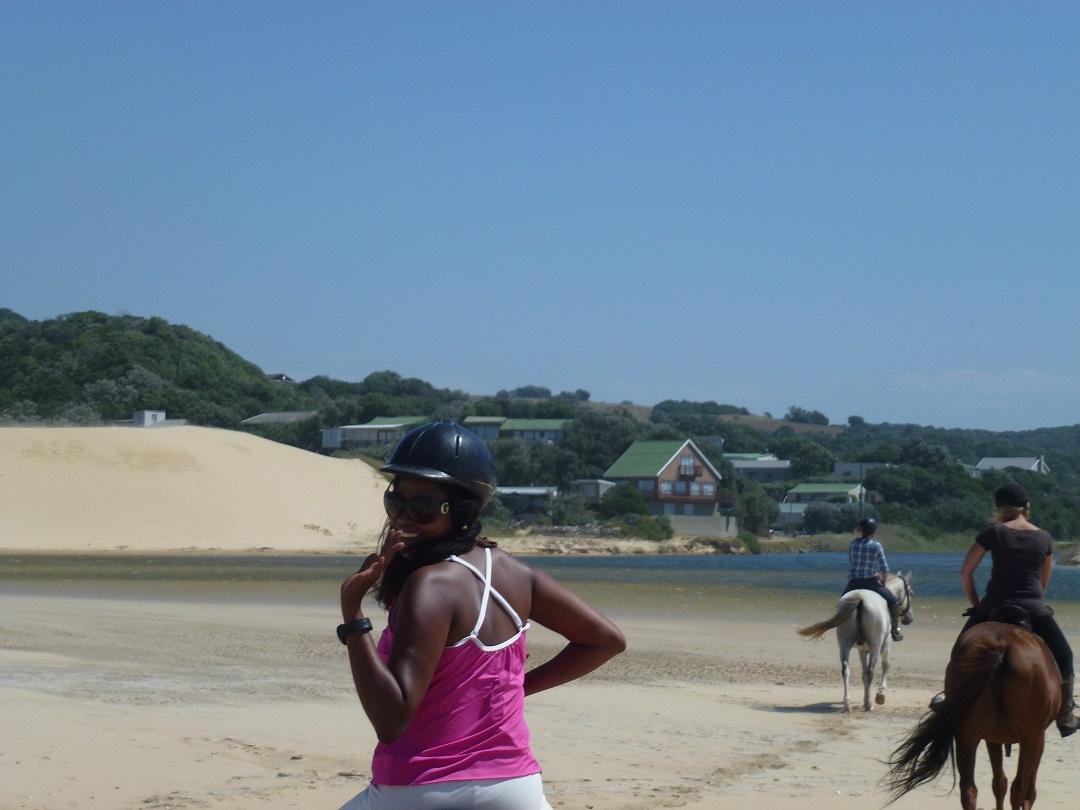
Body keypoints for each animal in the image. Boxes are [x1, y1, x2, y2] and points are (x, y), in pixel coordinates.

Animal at [796, 571, 913, 712]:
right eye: (911, 593)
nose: (909, 618)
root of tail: (860, 598)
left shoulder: (862, 650)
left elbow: (863, 675)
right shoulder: (885, 645)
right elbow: (885, 666)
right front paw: (880, 695)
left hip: (844, 643)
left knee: (846, 669)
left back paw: (847, 703)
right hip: (875, 645)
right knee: (870, 671)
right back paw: (868, 704)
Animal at [885, 620, 1060, 810]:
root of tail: (1002, 645)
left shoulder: (993, 738)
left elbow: (999, 783)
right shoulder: (1037, 739)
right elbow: (1028, 792)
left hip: (966, 735)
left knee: (969, 790)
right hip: (1029, 737)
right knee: (1019, 789)